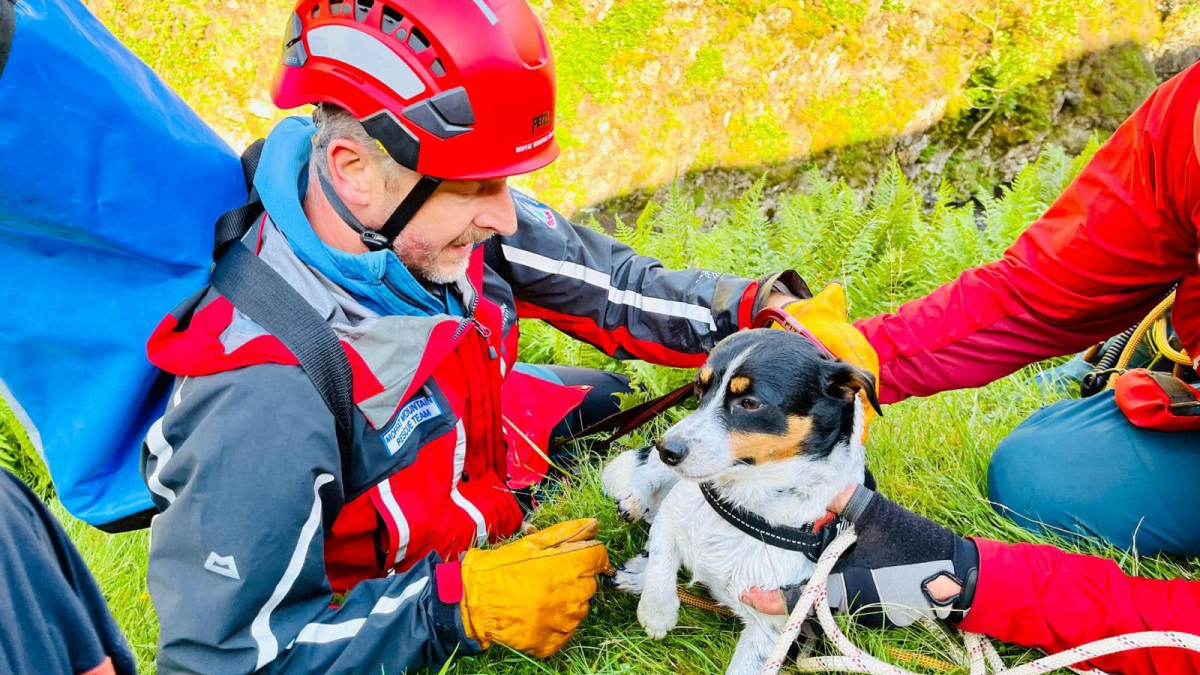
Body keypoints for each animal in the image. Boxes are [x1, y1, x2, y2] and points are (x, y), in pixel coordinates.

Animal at [604, 326, 878, 672]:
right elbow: (661, 562)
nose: (667, 449)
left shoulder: (771, 625)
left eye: (749, 403)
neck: (743, 501)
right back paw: (636, 504)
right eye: (699, 387)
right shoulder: (673, 514)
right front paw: (656, 612)